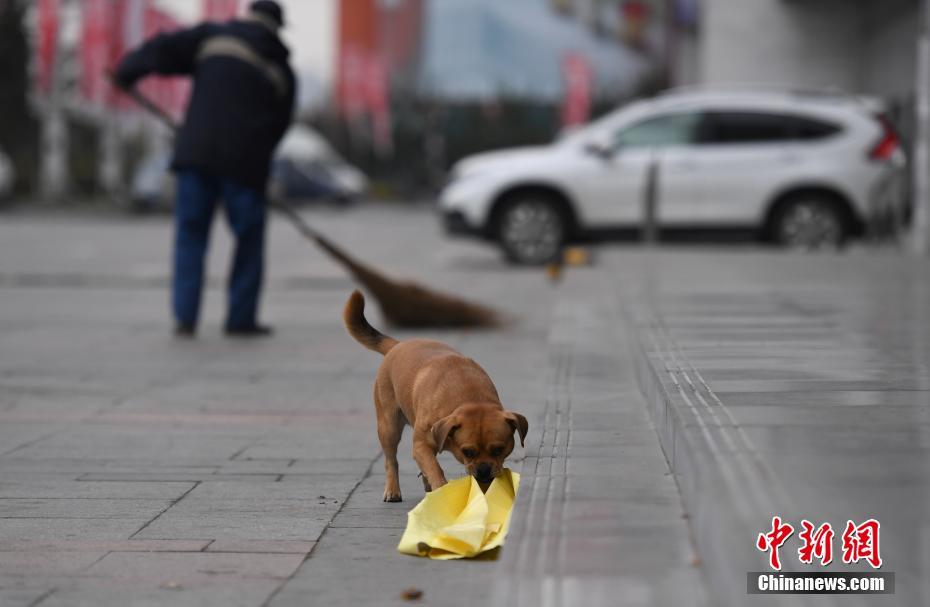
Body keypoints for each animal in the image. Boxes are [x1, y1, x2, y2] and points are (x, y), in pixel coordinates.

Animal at [344, 292, 524, 502]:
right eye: (467, 451)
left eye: (498, 449)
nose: (483, 470)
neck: (470, 399)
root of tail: (398, 345)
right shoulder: (421, 445)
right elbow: (433, 468)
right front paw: (440, 487)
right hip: (389, 427)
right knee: (391, 460)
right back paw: (393, 489)